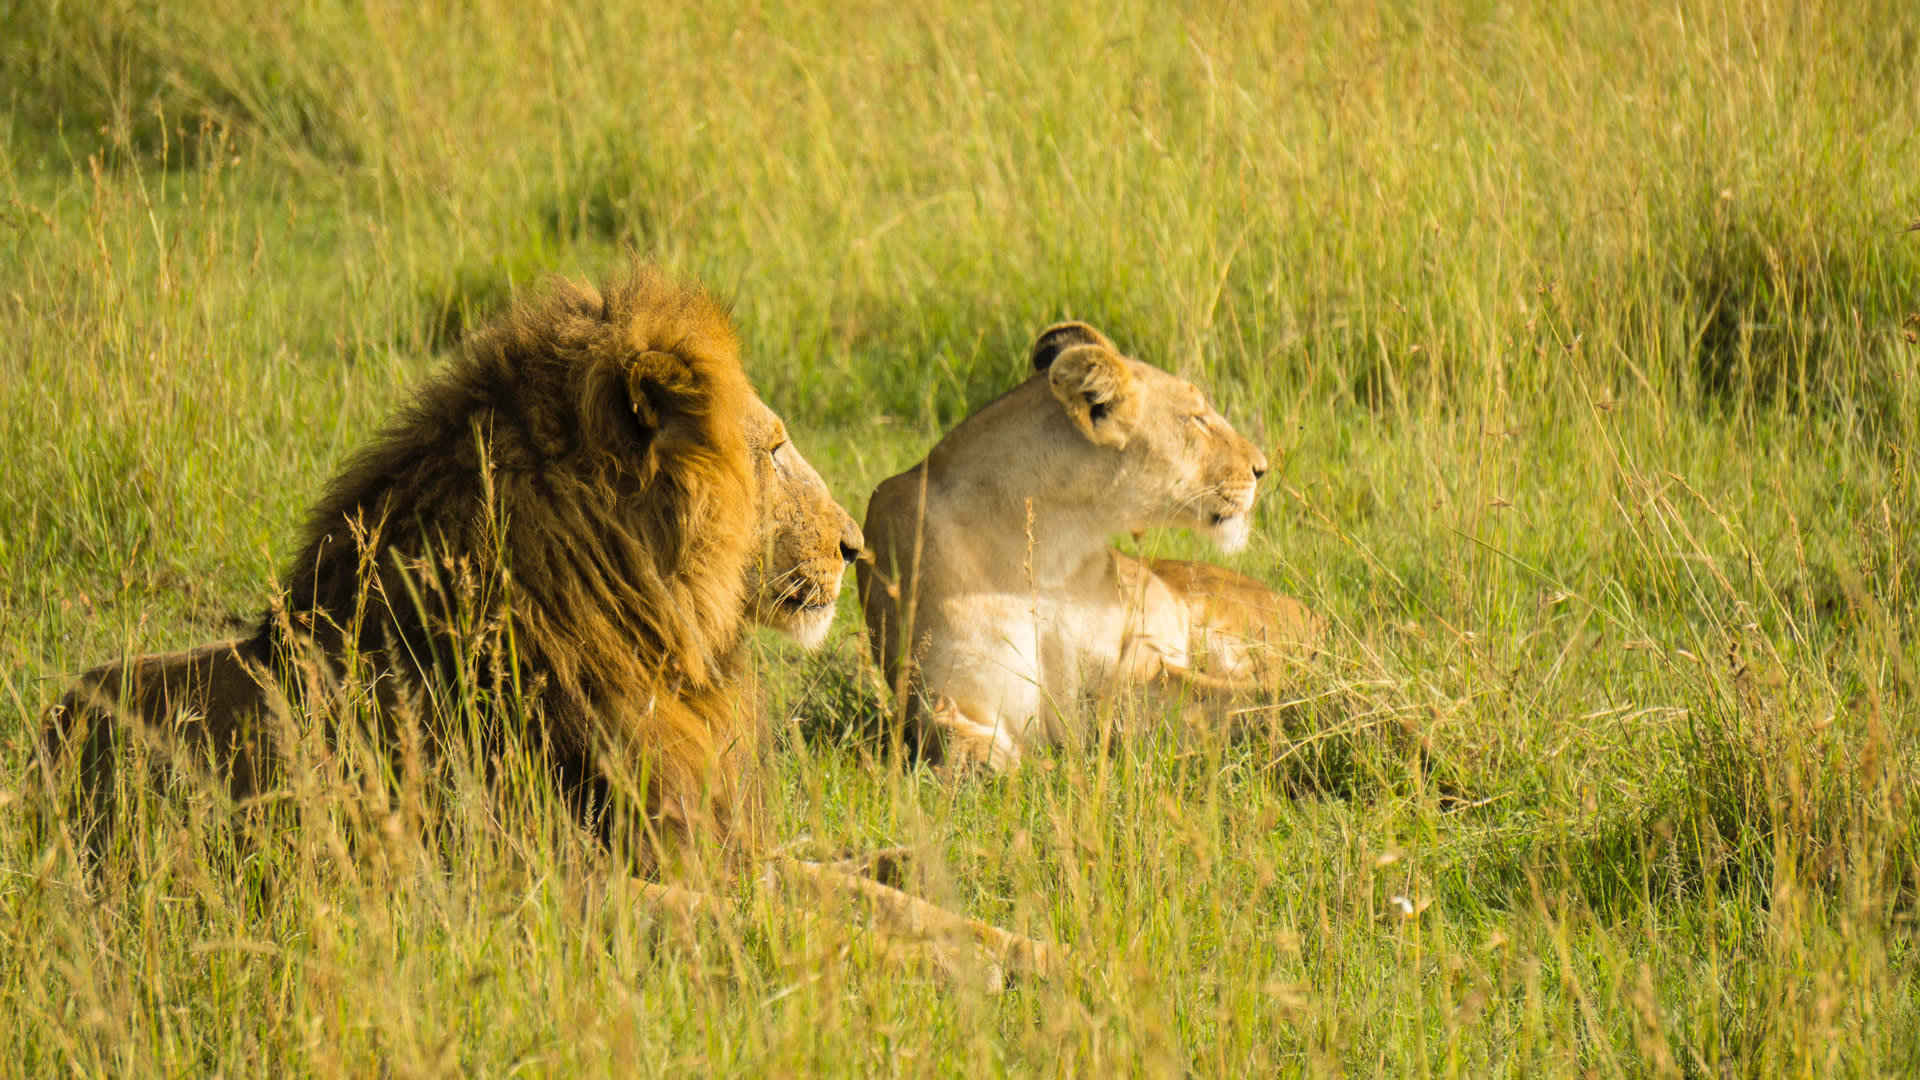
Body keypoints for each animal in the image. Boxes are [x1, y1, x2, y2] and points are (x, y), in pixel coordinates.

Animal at [856, 315, 1320, 768]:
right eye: (1196, 419)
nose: (1262, 468)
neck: (1048, 548)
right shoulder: (943, 693)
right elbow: (963, 749)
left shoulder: (1134, 673)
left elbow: (1257, 698)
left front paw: (1325, 704)